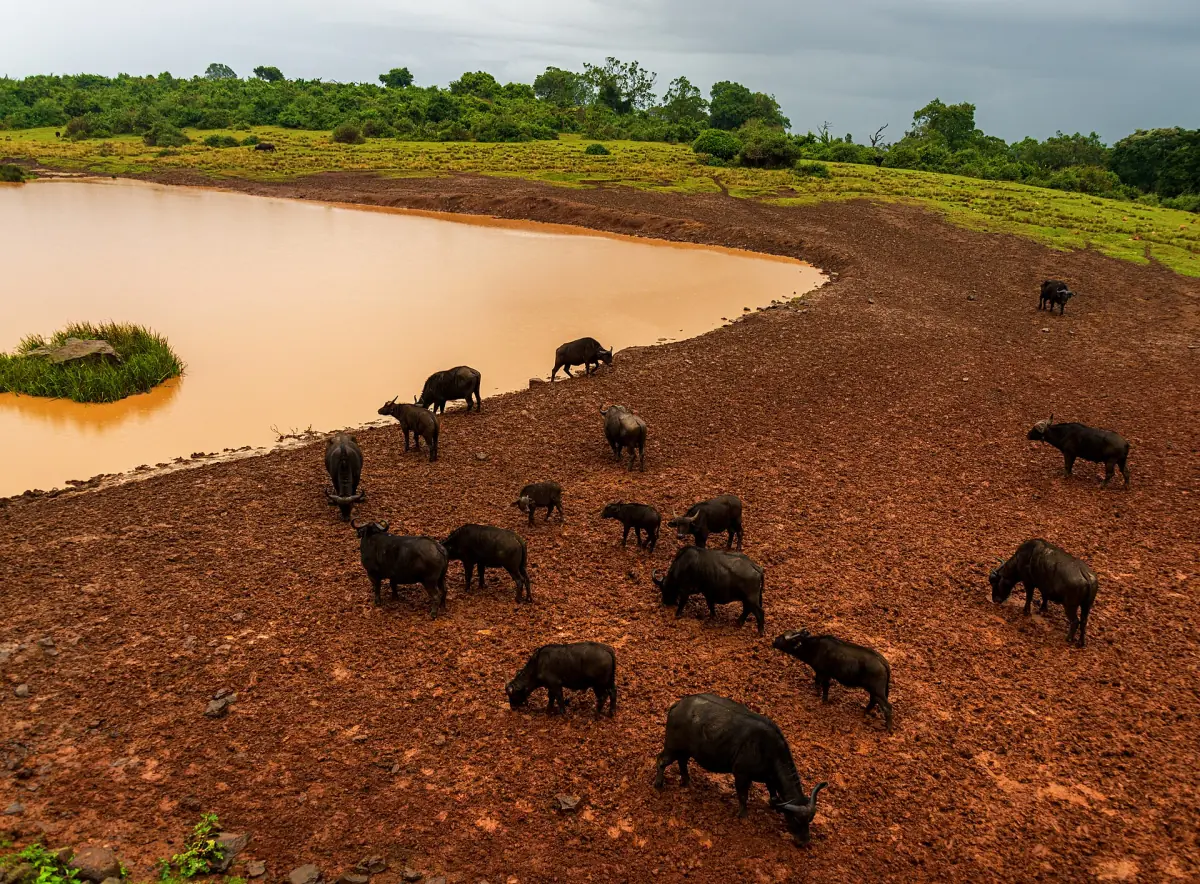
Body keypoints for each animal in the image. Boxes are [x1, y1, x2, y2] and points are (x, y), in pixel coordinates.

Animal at [654, 693, 827, 846]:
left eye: (810, 819)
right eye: (796, 819)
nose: (804, 842)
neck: (767, 750)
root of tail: (678, 705)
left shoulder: (770, 778)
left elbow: (773, 795)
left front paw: (773, 805)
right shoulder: (742, 775)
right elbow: (743, 796)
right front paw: (743, 816)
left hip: (686, 751)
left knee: (682, 762)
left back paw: (687, 782)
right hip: (672, 747)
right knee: (661, 760)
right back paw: (658, 784)